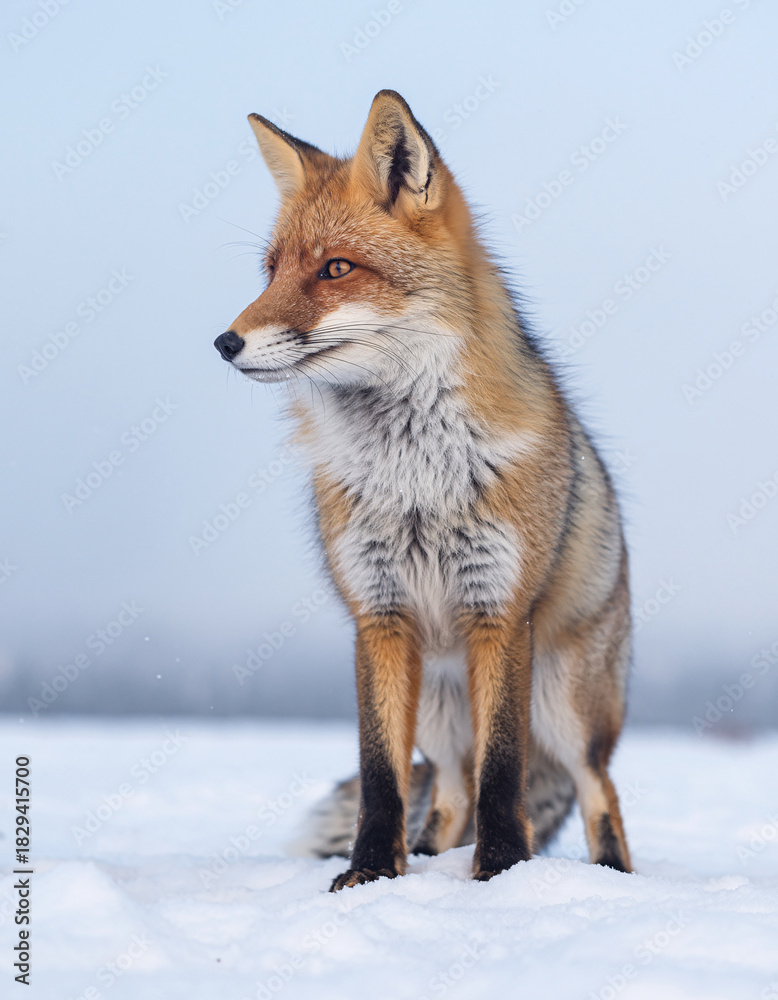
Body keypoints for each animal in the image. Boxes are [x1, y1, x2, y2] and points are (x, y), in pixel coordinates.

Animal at [214, 91, 633, 891]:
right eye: (270, 270)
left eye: (335, 268)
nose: (225, 343)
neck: (414, 476)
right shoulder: (378, 617)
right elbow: (382, 776)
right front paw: (370, 876)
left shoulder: (497, 611)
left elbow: (503, 775)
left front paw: (501, 873)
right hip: (439, 714)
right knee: (444, 794)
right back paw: (433, 860)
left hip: (565, 707)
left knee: (599, 790)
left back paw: (611, 878)